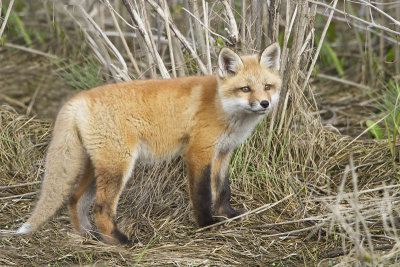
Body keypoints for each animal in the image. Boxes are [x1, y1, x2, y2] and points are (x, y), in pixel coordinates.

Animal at [16, 43, 282, 246]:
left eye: (267, 87)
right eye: (245, 89)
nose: (265, 104)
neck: (222, 106)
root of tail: (79, 98)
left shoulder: (223, 152)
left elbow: (223, 189)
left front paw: (228, 215)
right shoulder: (199, 152)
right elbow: (203, 193)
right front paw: (206, 224)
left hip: (98, 168)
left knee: (75, 199)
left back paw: (89, 236)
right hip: (118, 167)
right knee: (101, 208)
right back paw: (120, 241)